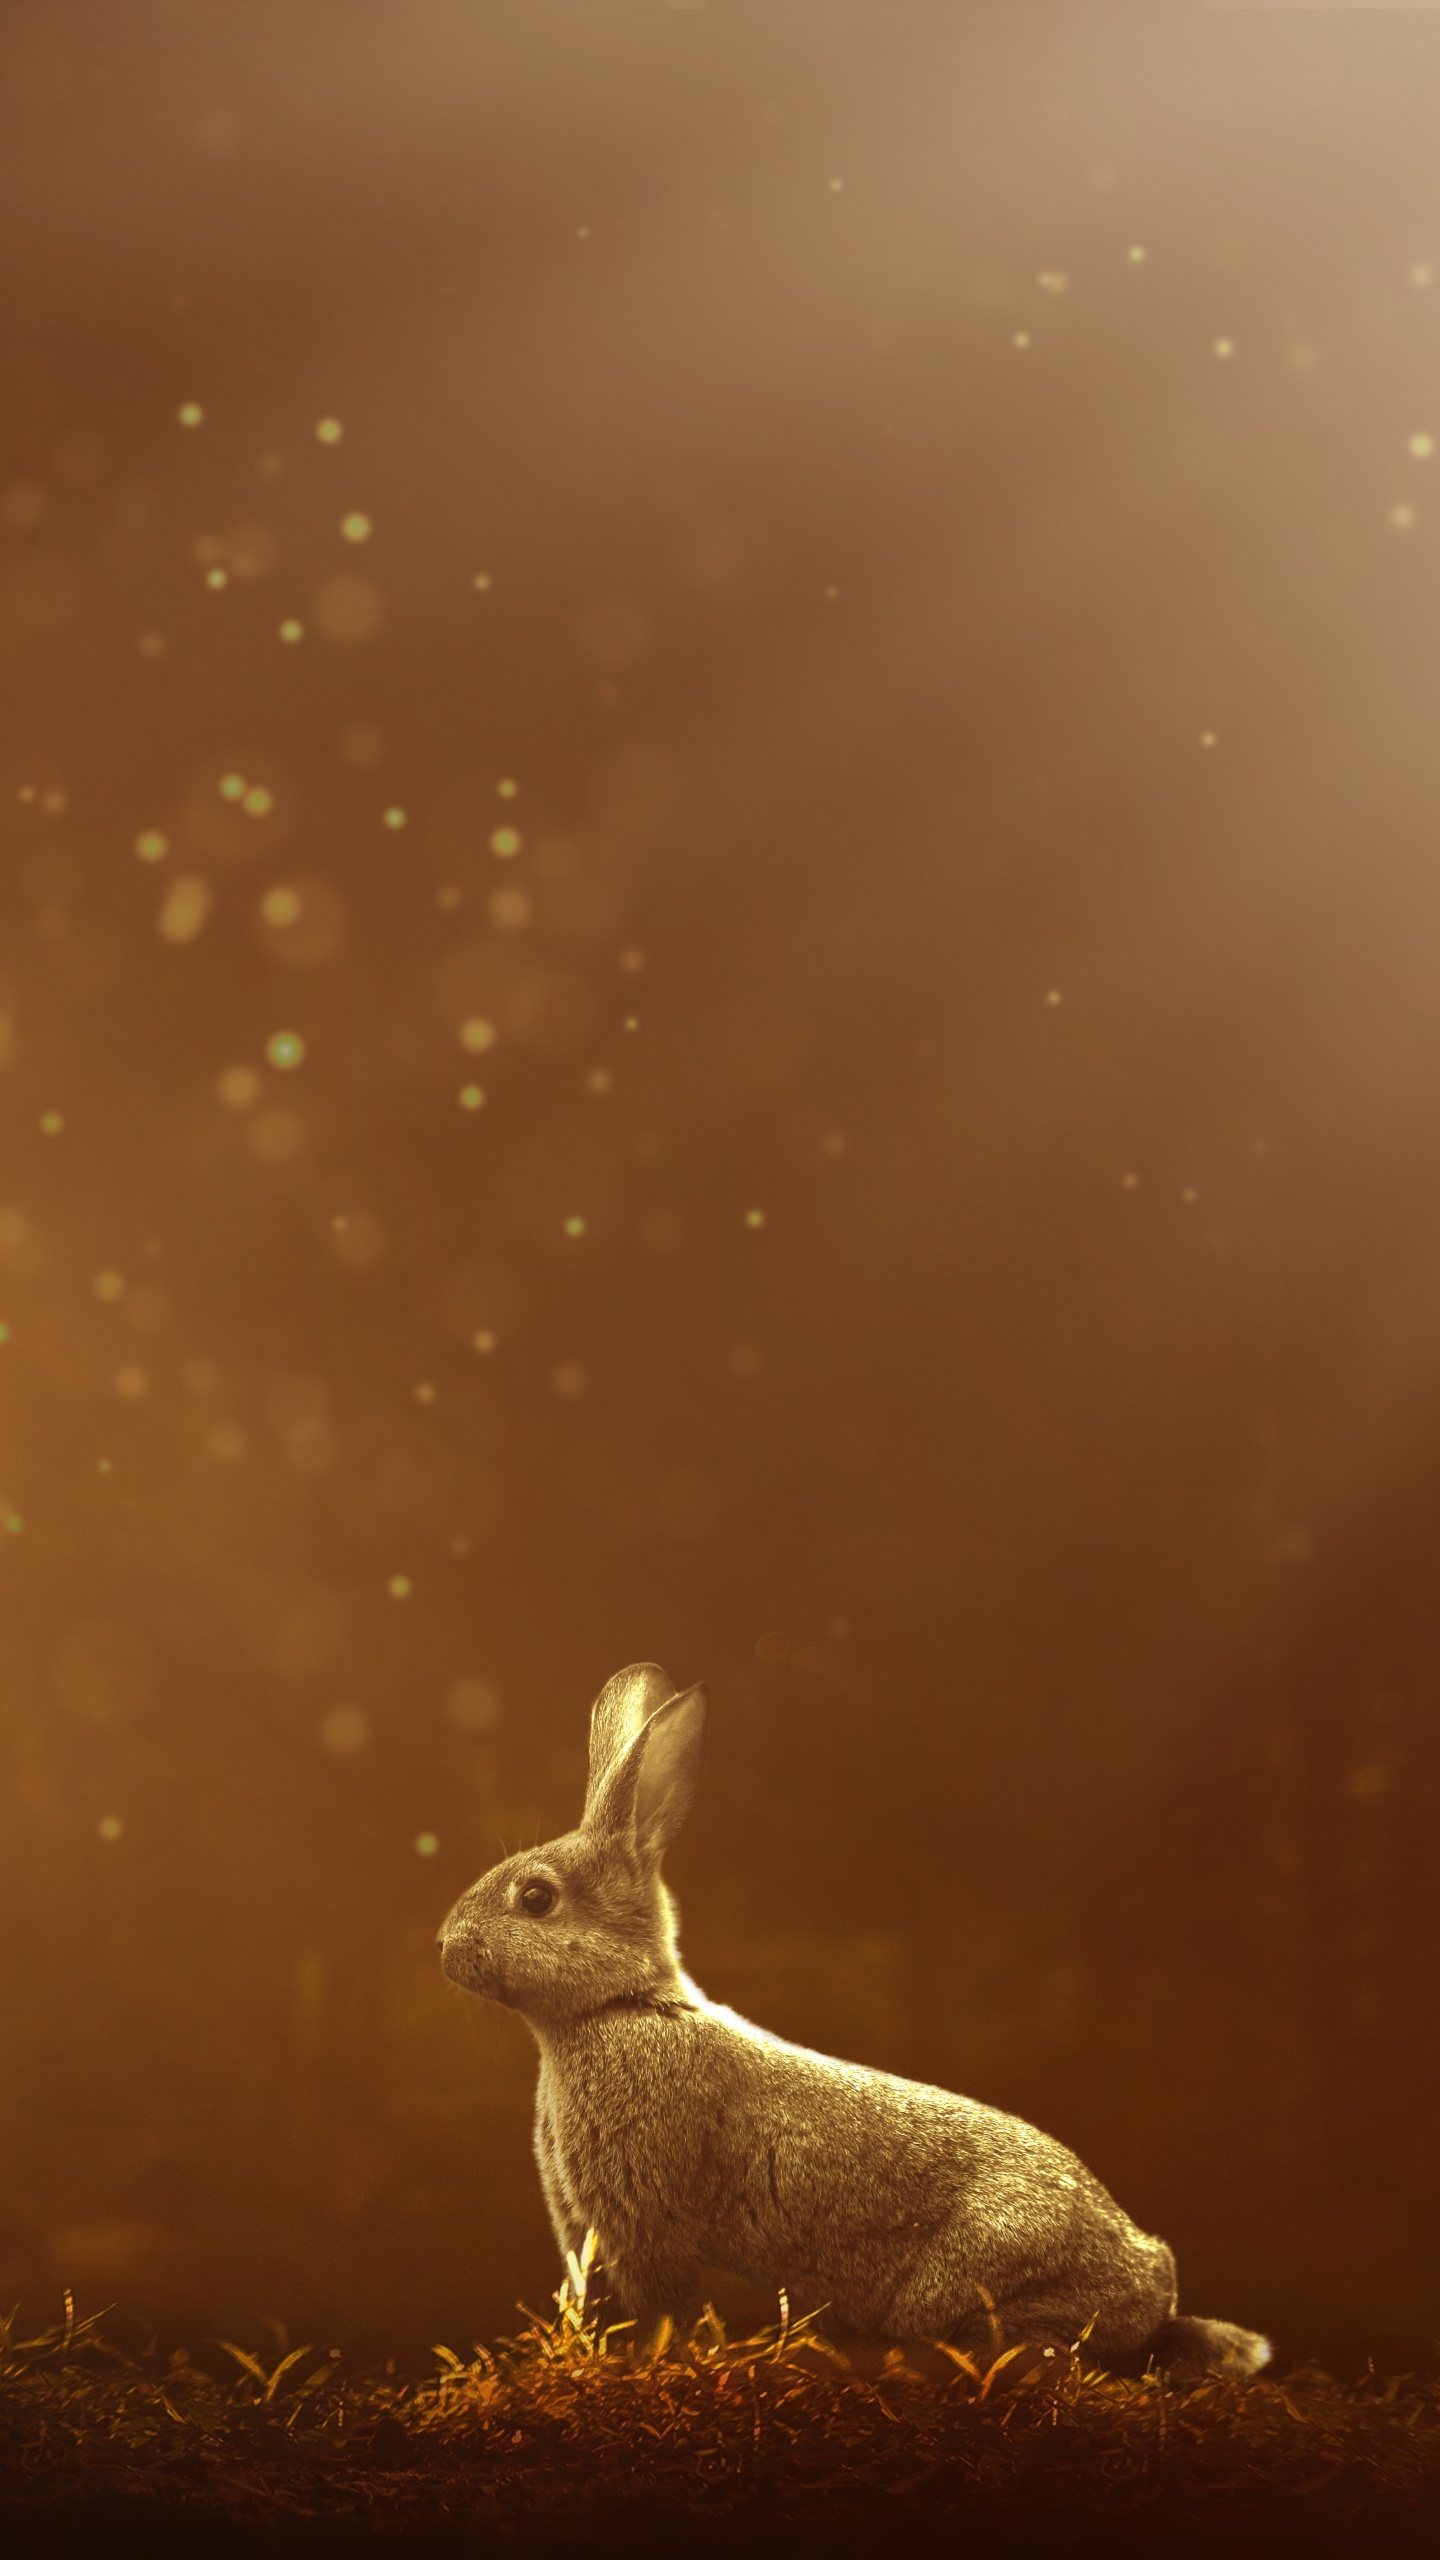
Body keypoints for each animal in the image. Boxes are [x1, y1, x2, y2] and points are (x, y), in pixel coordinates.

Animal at [438, 1661, 1270, 2383]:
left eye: (536, 1898)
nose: (445, 1949)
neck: (618, 2007)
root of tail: (1152, 2283)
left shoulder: (644, 2220)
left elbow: (659, 2307)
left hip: (975, 2276)